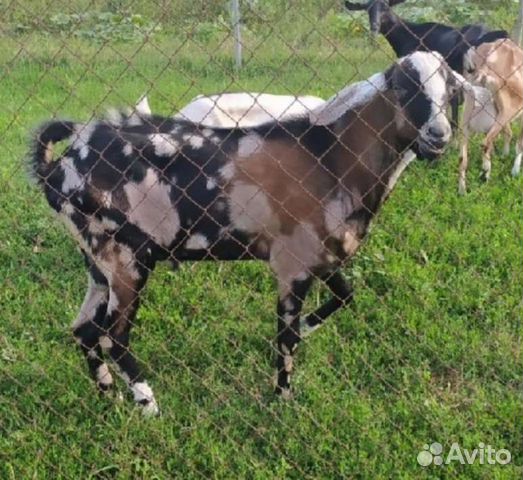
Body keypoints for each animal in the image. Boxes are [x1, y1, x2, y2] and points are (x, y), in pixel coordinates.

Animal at [29, 50, 470, 414]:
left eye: (450, 89)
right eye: (404, 87)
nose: (438, 137)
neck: (329, 157)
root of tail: (57, 167)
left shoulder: (323, 255)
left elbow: (345, 296)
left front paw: (309, 327)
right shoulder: (292, 264)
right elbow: (286, 337)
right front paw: (283, 400)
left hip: (97, 262)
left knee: (84, 330)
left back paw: (109, 395)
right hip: (125, 258)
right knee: (113, 335)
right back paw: (148, 404)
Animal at [458, 39, 523, 193]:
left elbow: (508, 133)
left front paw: (504, 155)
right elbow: (519, 143)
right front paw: (515, 171)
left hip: (467, 113)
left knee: (462, 158)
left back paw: (462, 191)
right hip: (506, 111)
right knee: (485, 143)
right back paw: (485, 174)